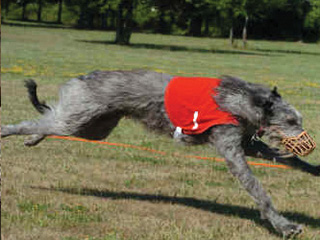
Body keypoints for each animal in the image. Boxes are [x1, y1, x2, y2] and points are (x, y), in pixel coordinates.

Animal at [1, 70, 318, 237]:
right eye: (291, 121)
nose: (309, 141)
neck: (244, 100)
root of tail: (80, 79)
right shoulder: (230, 146)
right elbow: (256, 189)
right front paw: (284, 224)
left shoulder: (248, 142)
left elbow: (288, 159)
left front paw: (314, 168)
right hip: (80, 118)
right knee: (42, 121)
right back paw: (8, 130)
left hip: (94, 127)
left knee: (50, 120)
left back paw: (33, 138)